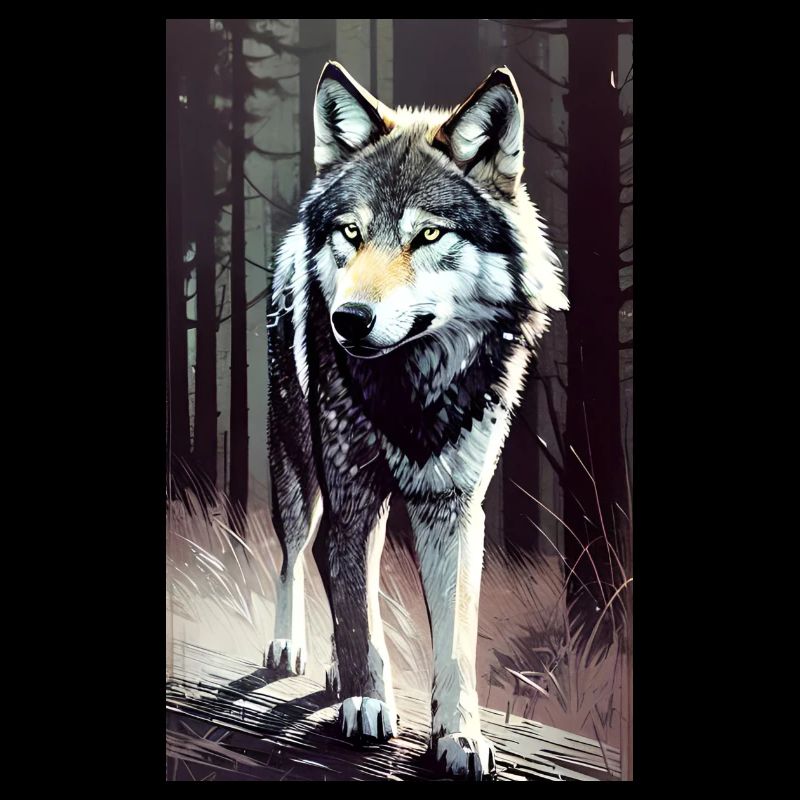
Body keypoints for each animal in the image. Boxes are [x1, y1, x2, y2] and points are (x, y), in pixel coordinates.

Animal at [264, 61, 567, 780]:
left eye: (428, 234)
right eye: (351, 232)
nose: (348, 320)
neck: (412, 389)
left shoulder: (453, 510)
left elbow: (453, 642)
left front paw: (460, 738)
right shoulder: (350, 494)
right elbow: (356, 607)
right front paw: (366, 703)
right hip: (298, 472)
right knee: (300, 555)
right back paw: (293, 650)